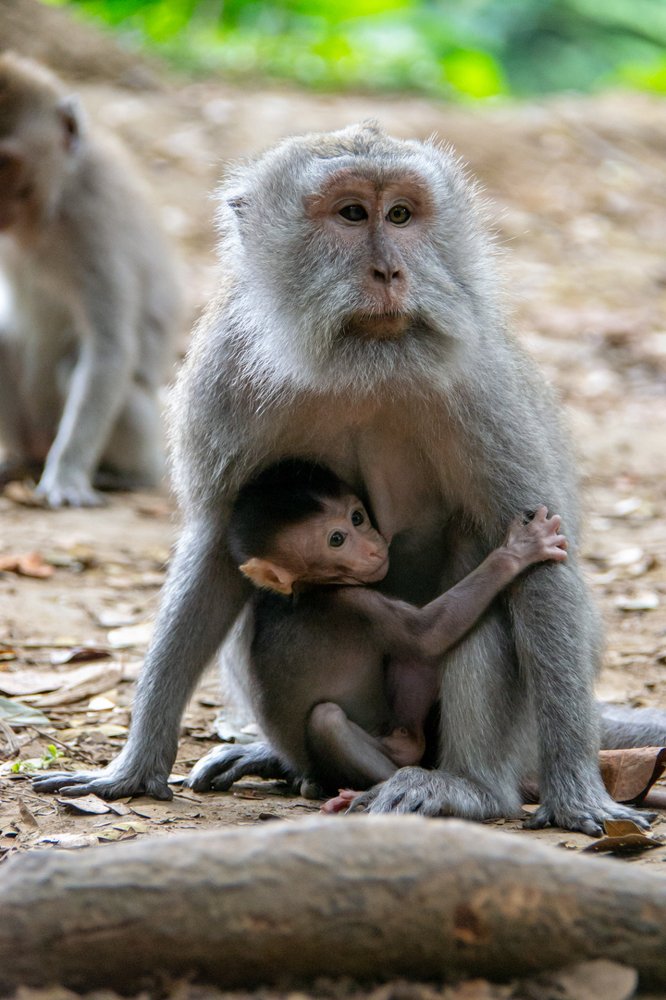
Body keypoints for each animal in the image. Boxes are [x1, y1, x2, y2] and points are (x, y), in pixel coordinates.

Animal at [0, 53, 181, 507]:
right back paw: (15, 461)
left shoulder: (96, 219)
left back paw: (123, 476)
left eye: (5, 163)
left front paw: (67, 476)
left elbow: (110, 347)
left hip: (147, 433)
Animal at [187, 459, 569, 798]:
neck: (311, 588)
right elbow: (428, 636)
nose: (373, 547)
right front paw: (517, 552)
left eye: (357, 517)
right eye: (337, 540)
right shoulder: (356, 605)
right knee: (330, 718)